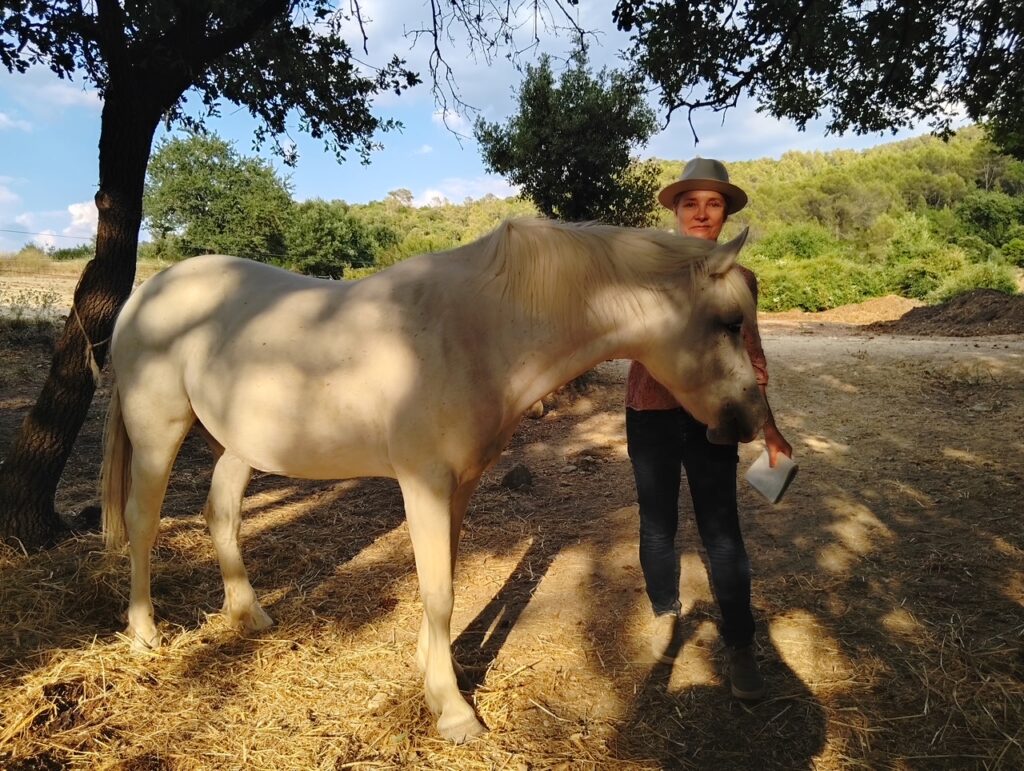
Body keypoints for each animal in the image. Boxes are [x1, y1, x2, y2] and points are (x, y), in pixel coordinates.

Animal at [100, 217, 767, 743]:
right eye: (729, 322)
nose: (752, 419)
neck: (476, 329)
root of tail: (147, 292)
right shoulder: (422, 483)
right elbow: (439, 590)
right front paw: (452, 711)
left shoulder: (459, 485)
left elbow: (442, 573)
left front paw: (434, 669)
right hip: (158, 433)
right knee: (142, 520)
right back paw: (144, 633)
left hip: (240, 444)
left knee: (221, 513)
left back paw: (248, 615)